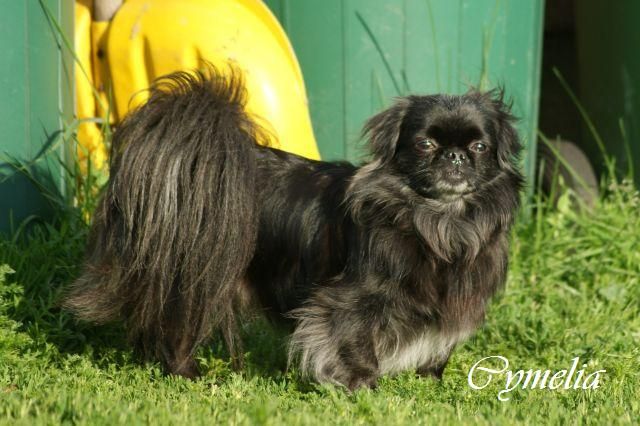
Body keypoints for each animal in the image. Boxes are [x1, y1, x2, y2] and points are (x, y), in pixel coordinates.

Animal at [64, 66, 523, 390]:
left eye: (479, 147)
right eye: (425, 144)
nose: (455, 156)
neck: (439, 222)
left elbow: (436, 351)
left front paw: (429, 385)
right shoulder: (351, 301)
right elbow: (356, 343)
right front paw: (363, 388)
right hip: (195, 277)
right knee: (174, 331)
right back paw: (188, 376)